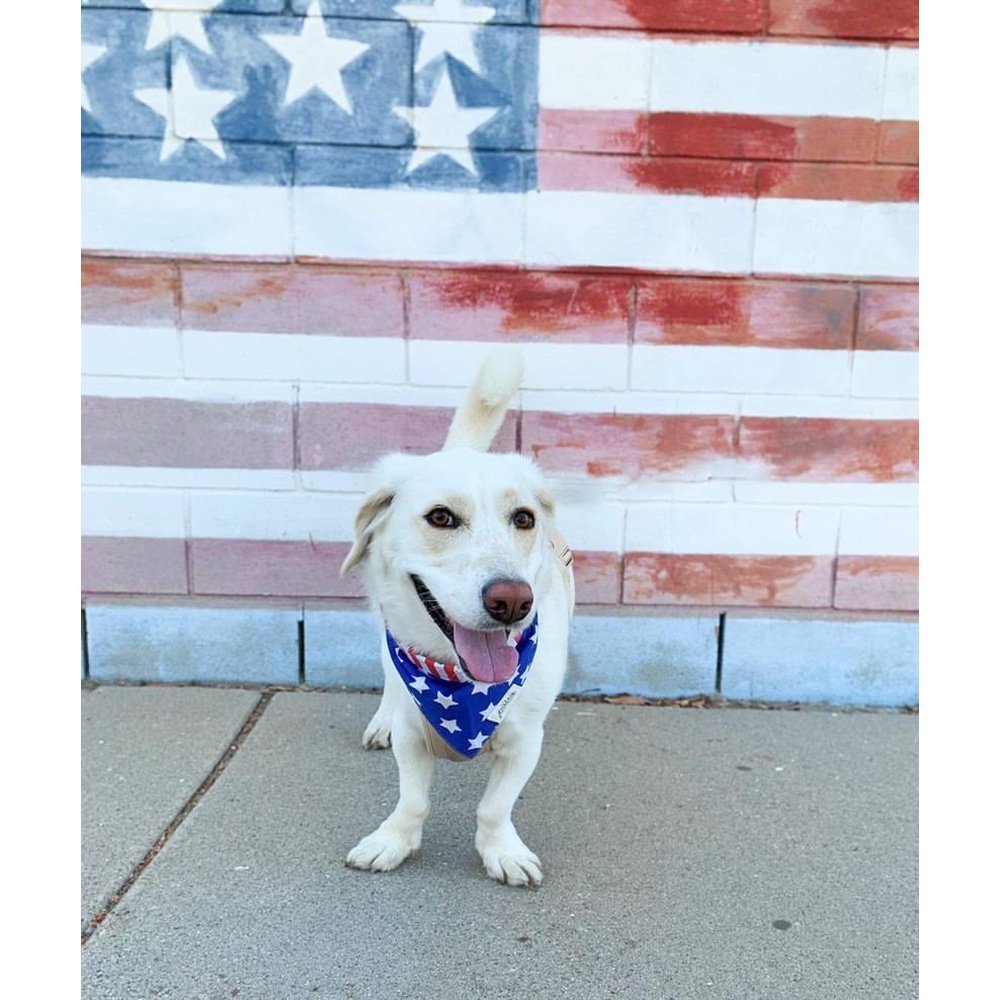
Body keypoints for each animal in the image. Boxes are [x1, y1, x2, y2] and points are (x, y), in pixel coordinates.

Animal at [344, 348, 576, 888]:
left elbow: (494, 807)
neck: (461, 684)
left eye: (524, 519)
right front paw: (393, 841)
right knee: (390, 683)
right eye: (441, 517)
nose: (513, 601)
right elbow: (412, 799)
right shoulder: (414, 737)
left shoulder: (524, 743)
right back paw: (382, 718)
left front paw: (501, 851)